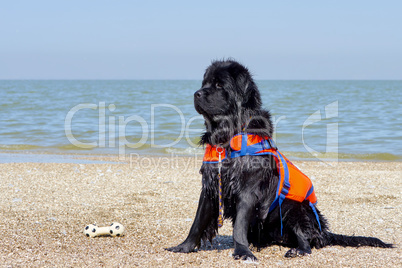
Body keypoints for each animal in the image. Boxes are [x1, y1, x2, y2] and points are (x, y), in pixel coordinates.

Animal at [166, 59, 392, 260]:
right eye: (204, 83)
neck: (230, 135)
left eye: (219, 85)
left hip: (296, 208)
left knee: (306, 240)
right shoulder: (211, 185)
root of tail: (323, 231)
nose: (196, 93)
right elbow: (197, 222)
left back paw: (297, 250)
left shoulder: (248, 190)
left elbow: (239, 225)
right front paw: (183, 247)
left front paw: (242, 252)